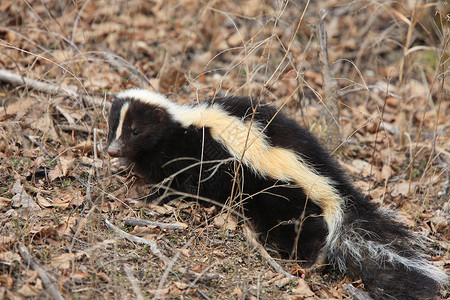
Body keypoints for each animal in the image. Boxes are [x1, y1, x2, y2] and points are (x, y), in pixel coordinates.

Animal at [106, 89, 446, 300]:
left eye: (136, 131)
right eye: (114, 128)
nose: (112, 150)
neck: (180, 126)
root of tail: (333, 185)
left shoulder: (196, 157)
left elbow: (179, 182)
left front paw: (150, 195)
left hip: (283, 200)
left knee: (304, 233)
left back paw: (309, 263)